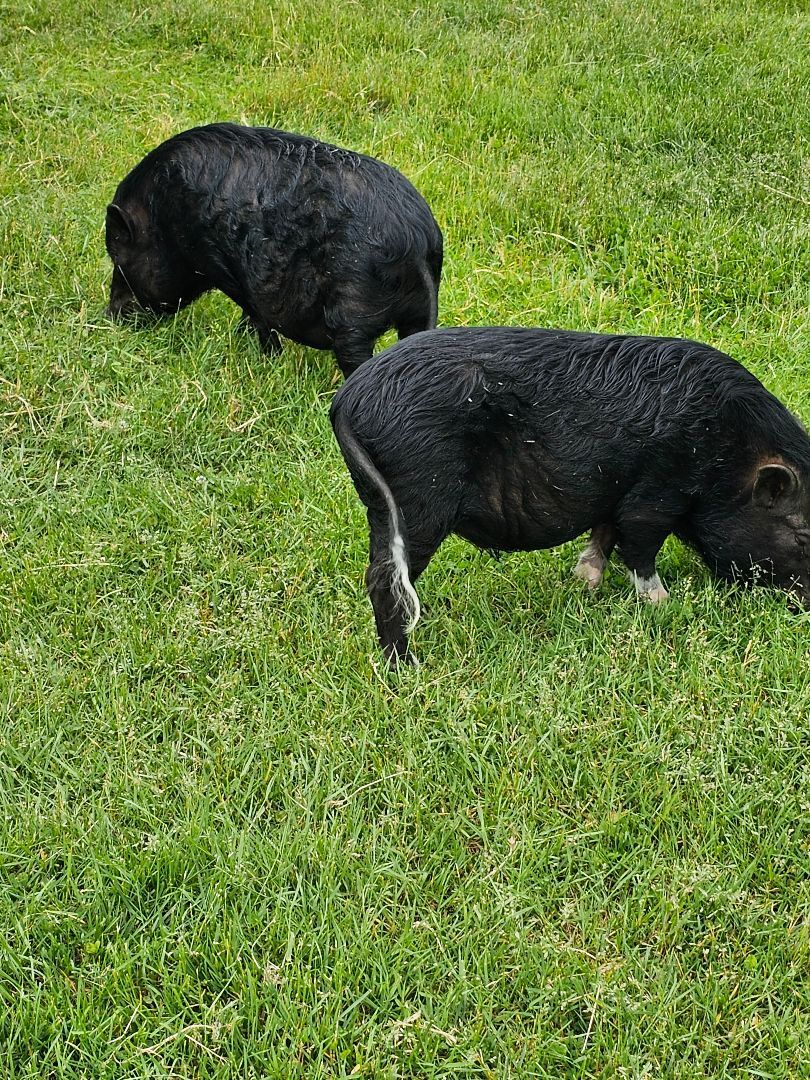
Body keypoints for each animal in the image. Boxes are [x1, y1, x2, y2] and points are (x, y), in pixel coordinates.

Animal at [105, 123, 443, 377]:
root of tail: (415, 242)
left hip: (352, 312)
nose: (110, 315)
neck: (162, 217)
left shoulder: (220, 264)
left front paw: (267, 356)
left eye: (118, 258)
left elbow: (256, 314)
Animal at [330, 326, 810, 664]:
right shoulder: (657, 491)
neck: (730, 455)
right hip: (418, 498)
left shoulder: (617, 494)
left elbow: (603, 535)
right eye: (803, 535)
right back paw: (406, 666)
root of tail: (347, 400)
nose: (803, 608)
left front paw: (584, 585)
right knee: (384, 580)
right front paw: (667, 608)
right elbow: (639, 546)